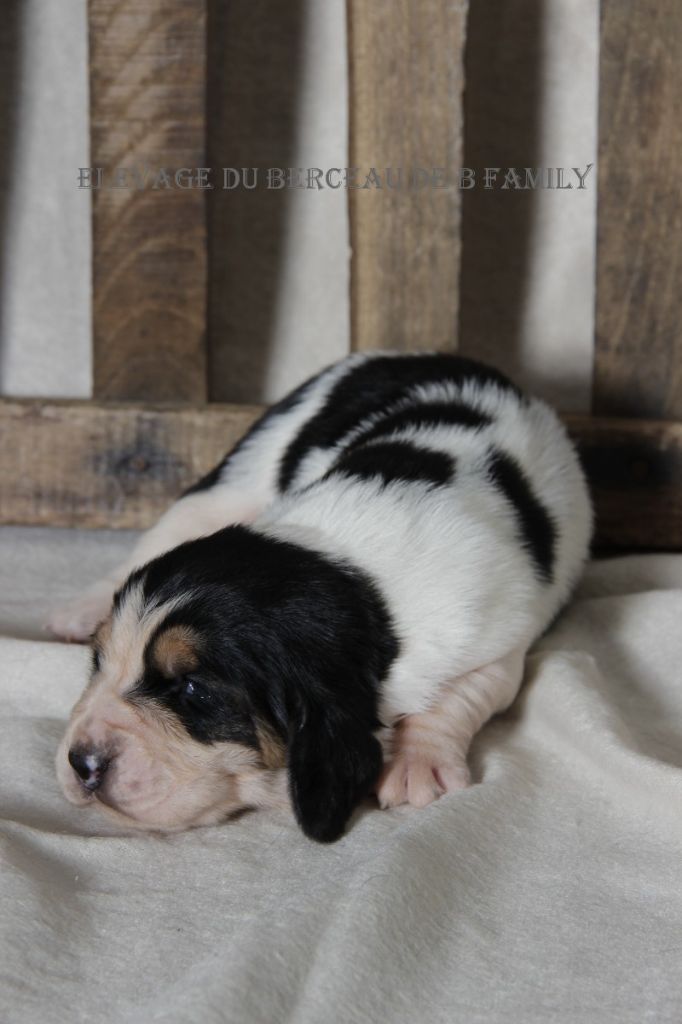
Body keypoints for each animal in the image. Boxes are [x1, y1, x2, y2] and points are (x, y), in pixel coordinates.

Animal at [51, 353, 592, 842]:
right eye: (98, 662)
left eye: (193, 690)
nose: (81, 762)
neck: (348, 568)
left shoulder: (496, 637)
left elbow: (457, 695)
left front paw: (418, 766)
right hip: (237, 476)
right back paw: (79, 610)